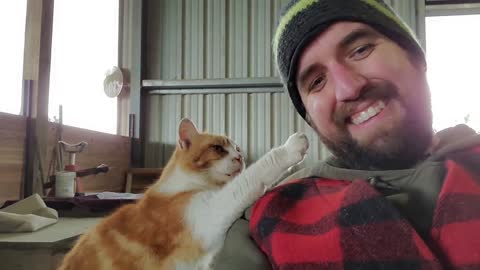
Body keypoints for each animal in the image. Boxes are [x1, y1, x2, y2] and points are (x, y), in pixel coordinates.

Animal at [58, 118, 310, 270]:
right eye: (218, 149)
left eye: (237, 149)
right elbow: (258, 171)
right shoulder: (213, 211)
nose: (240, 157)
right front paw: (291, 147)